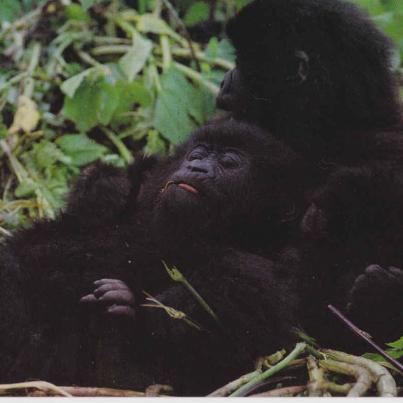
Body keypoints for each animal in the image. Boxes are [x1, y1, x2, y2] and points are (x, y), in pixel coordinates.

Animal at [0, 120, 310, 394]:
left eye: (229, 163)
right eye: (196, 155)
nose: (195, 167)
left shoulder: (286, 263)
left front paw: (127, 309)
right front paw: (111, 185)